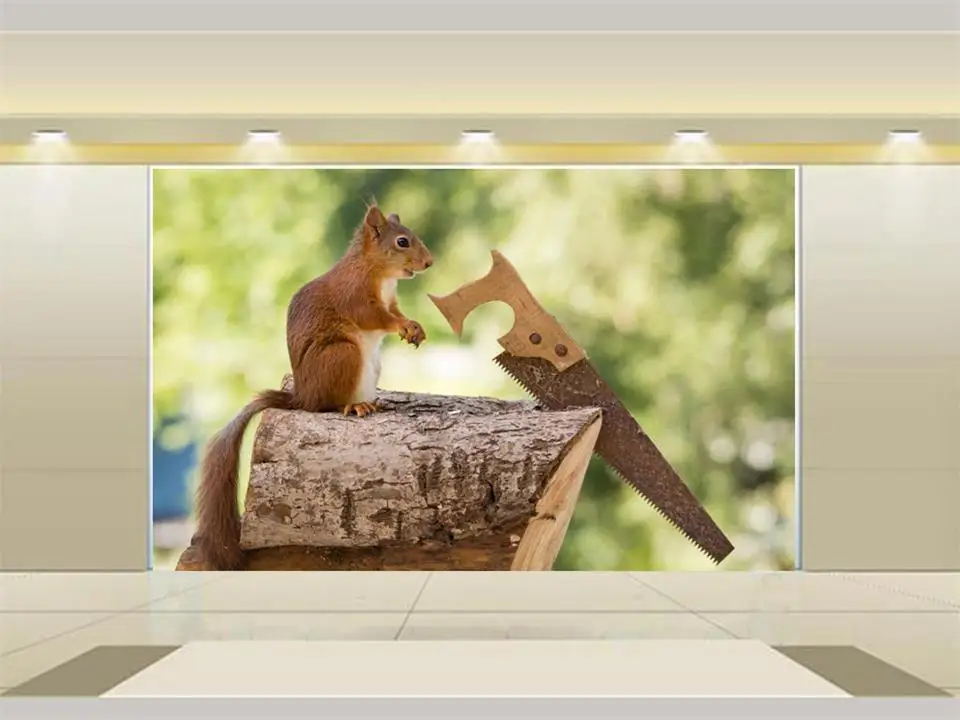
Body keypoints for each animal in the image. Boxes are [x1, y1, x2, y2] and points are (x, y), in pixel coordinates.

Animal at [194, 203, 434, 571]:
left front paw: (414, 325)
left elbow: (394, 311)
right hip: (343, 354)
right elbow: (375, 317)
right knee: (326, 405)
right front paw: (403, 325)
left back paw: (373, 403)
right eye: (402, 241)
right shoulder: (355, 296)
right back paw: (354, 406)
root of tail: (300, 397)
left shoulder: (390, 298)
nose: (429, 262)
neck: (378, 272)